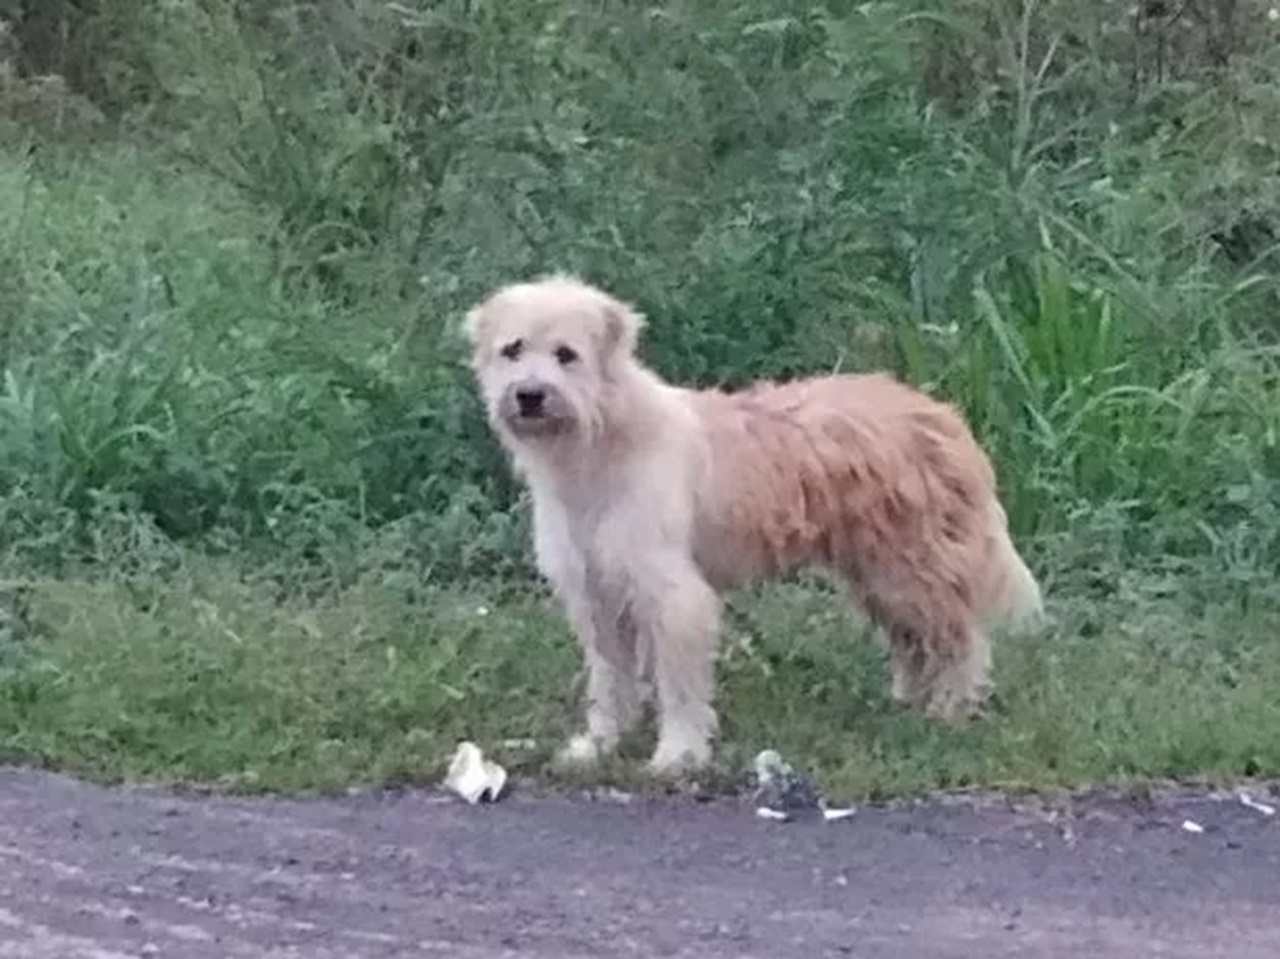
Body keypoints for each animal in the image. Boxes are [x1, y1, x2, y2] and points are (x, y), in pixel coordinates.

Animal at [465, 272, 1044, 773]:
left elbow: (679, 685)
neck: (599, 441)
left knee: (960, 638)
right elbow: (610, 680)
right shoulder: (597, 594)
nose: (530, 395)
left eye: (566, 354)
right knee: (917, 638)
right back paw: (912, 699)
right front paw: (600, 744)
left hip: (911, 566)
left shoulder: (671, 593)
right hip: (880, 571)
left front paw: (678, 754)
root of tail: (941, 416)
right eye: (513, 349)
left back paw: (952, 709)